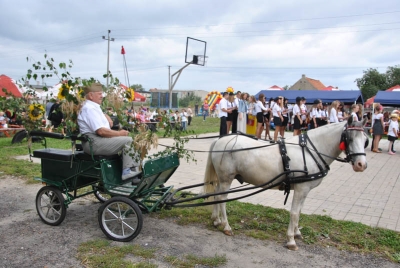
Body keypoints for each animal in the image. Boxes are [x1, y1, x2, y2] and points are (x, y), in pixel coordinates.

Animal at [205, 116, 368, 250]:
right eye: (349, 138)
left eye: (365, 140)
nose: (361, 165)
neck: (310, 151)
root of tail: (219, 140)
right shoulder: (301, 188)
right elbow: (294, 213)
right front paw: (291, 240)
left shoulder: (305, 190)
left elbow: (300, 211)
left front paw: (297, 232)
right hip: (226, 179)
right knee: (222, 199)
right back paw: (226, 226)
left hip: (222, 179)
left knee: (216, 194)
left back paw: (216, 220)